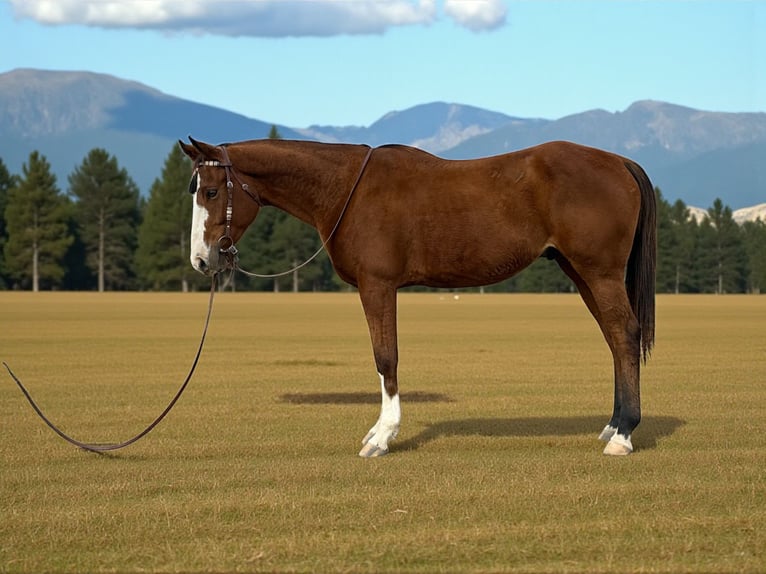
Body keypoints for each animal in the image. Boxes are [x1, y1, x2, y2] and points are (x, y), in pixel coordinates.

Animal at [179, 137, 656, 457]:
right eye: (197, 190)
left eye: (212, 191)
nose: (202, 260)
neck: (347, 189)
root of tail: (619, 162)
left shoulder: (377, 285)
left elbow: (385, 357)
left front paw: (382, 436)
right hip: (580, 272)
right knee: (615, 339)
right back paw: (613, 426)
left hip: (599, 272)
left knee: (624, 335)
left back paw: (624, 436)